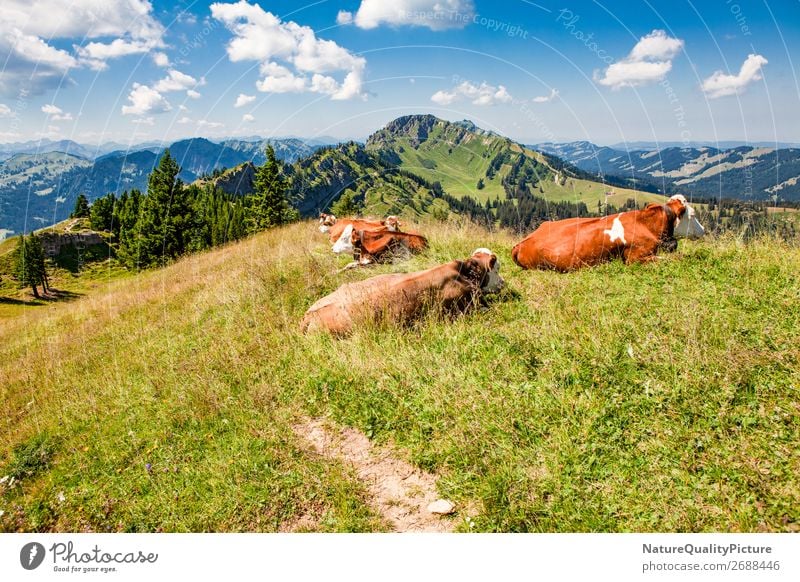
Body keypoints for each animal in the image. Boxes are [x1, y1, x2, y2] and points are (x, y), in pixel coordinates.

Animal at [516, 194, 704, 272]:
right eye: (693, 215)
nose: (703, 230)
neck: (646, 224)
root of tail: (522, 243)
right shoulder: (635, 258)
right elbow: (676, 258)